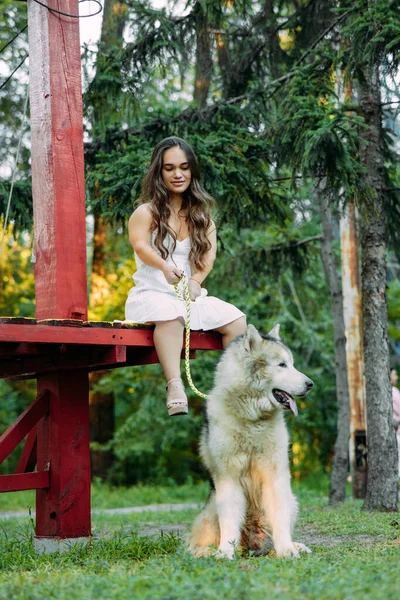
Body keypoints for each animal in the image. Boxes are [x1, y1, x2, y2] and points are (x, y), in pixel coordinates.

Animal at [189, 324, 314, 556]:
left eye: (291, 364)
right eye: (282, 365)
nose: (310, 384)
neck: (252, 418)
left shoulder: (276, 476)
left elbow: (280, 518)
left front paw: (287, 550)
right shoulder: (228, 479)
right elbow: (229, 522)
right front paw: (225, 553)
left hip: (291, 499)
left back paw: (293, 546)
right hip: (212, 507)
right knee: (198, 542)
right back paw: (208, 551)